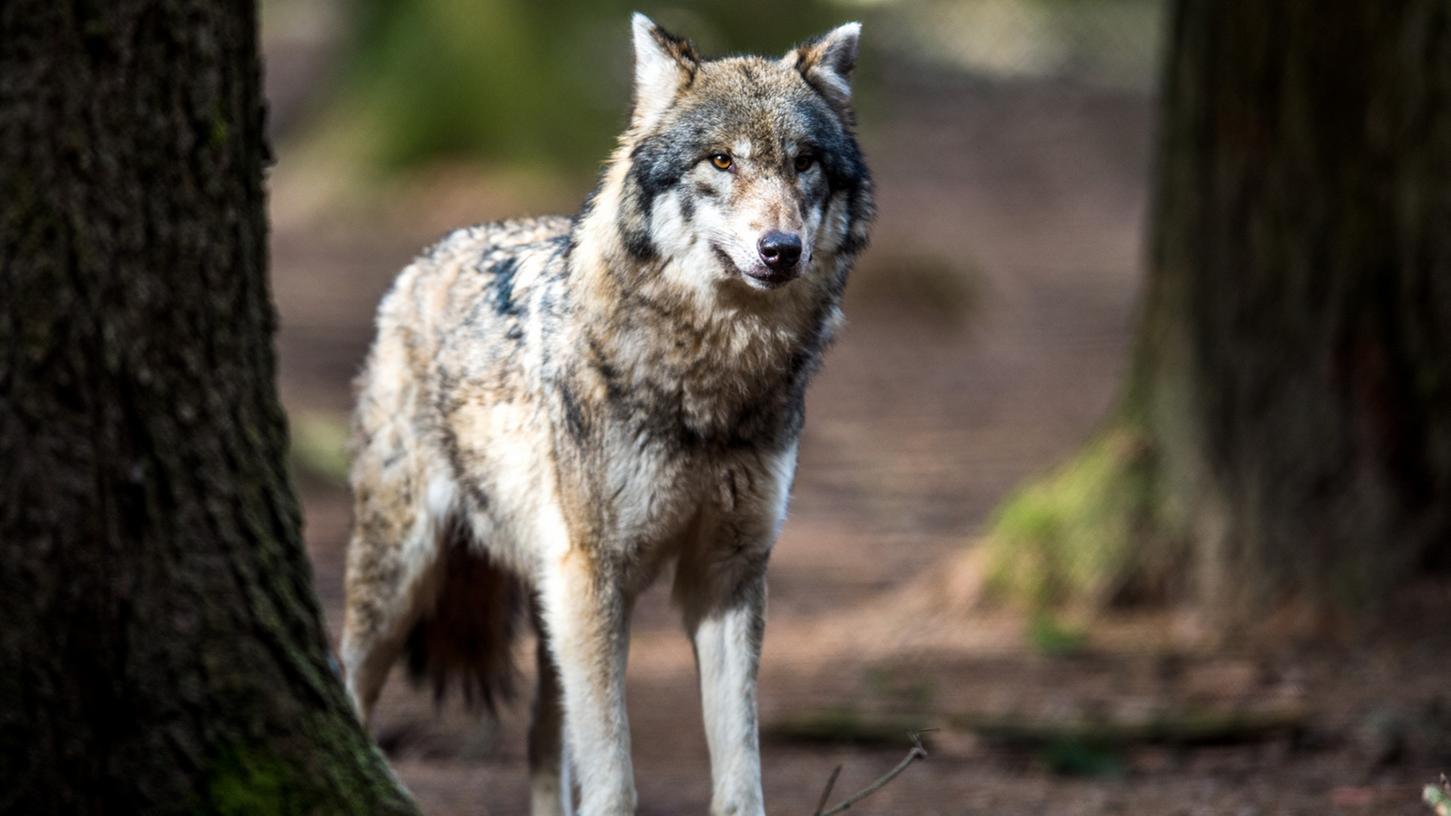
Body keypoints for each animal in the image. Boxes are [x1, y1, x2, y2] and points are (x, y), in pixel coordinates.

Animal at [339, 14, 870, 813]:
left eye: (804, 162)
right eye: (721, 161)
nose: (781, 249)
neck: (711, 382)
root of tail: (427, 257)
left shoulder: (726, 574)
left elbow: (739, 776)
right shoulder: (596, 574)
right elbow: (614, 780)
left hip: (549, 602)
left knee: (539, 741)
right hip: (406, 576)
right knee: (349, 688)